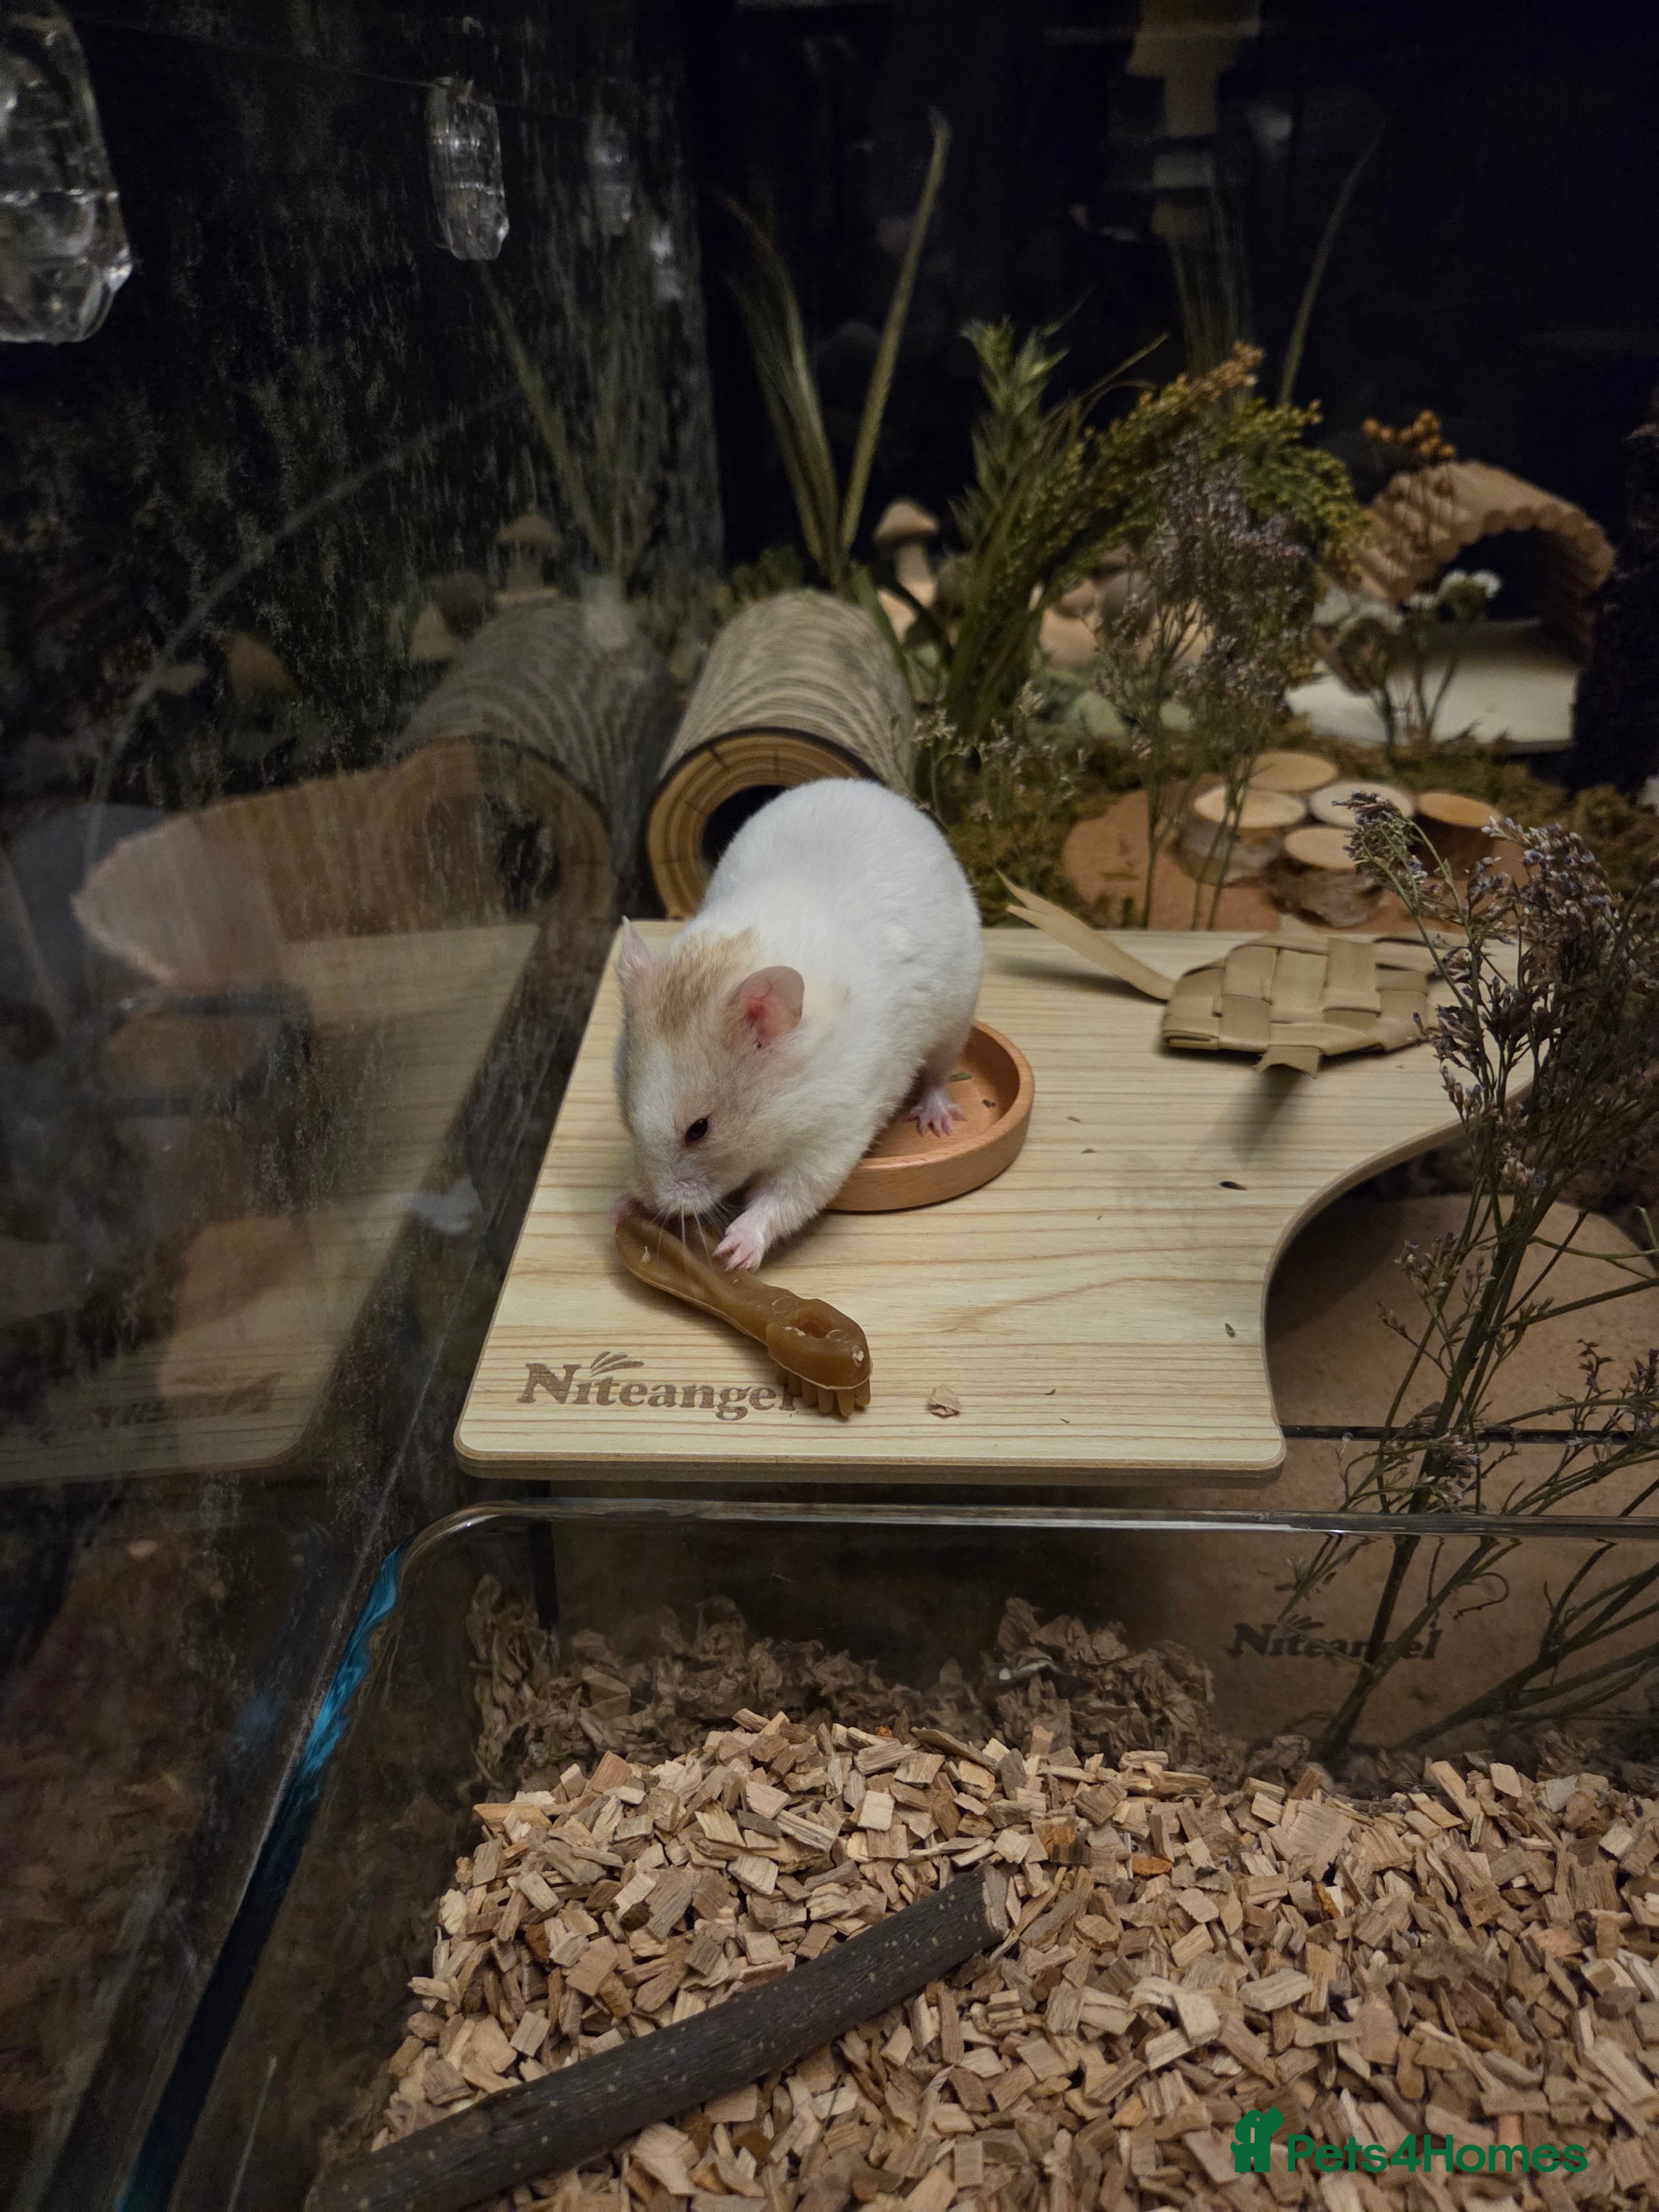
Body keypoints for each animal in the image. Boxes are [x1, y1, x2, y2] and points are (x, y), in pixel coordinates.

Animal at [614, 779, 984, 1270]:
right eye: (626, 1107)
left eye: (700, 1129)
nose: (655, 1206)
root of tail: (882, 794)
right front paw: (621, 1206)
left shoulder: (832, 1137)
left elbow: (787, 1195)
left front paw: (733, 1254)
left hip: (958, 1015)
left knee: (941, 1074)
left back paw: (936, 1121)